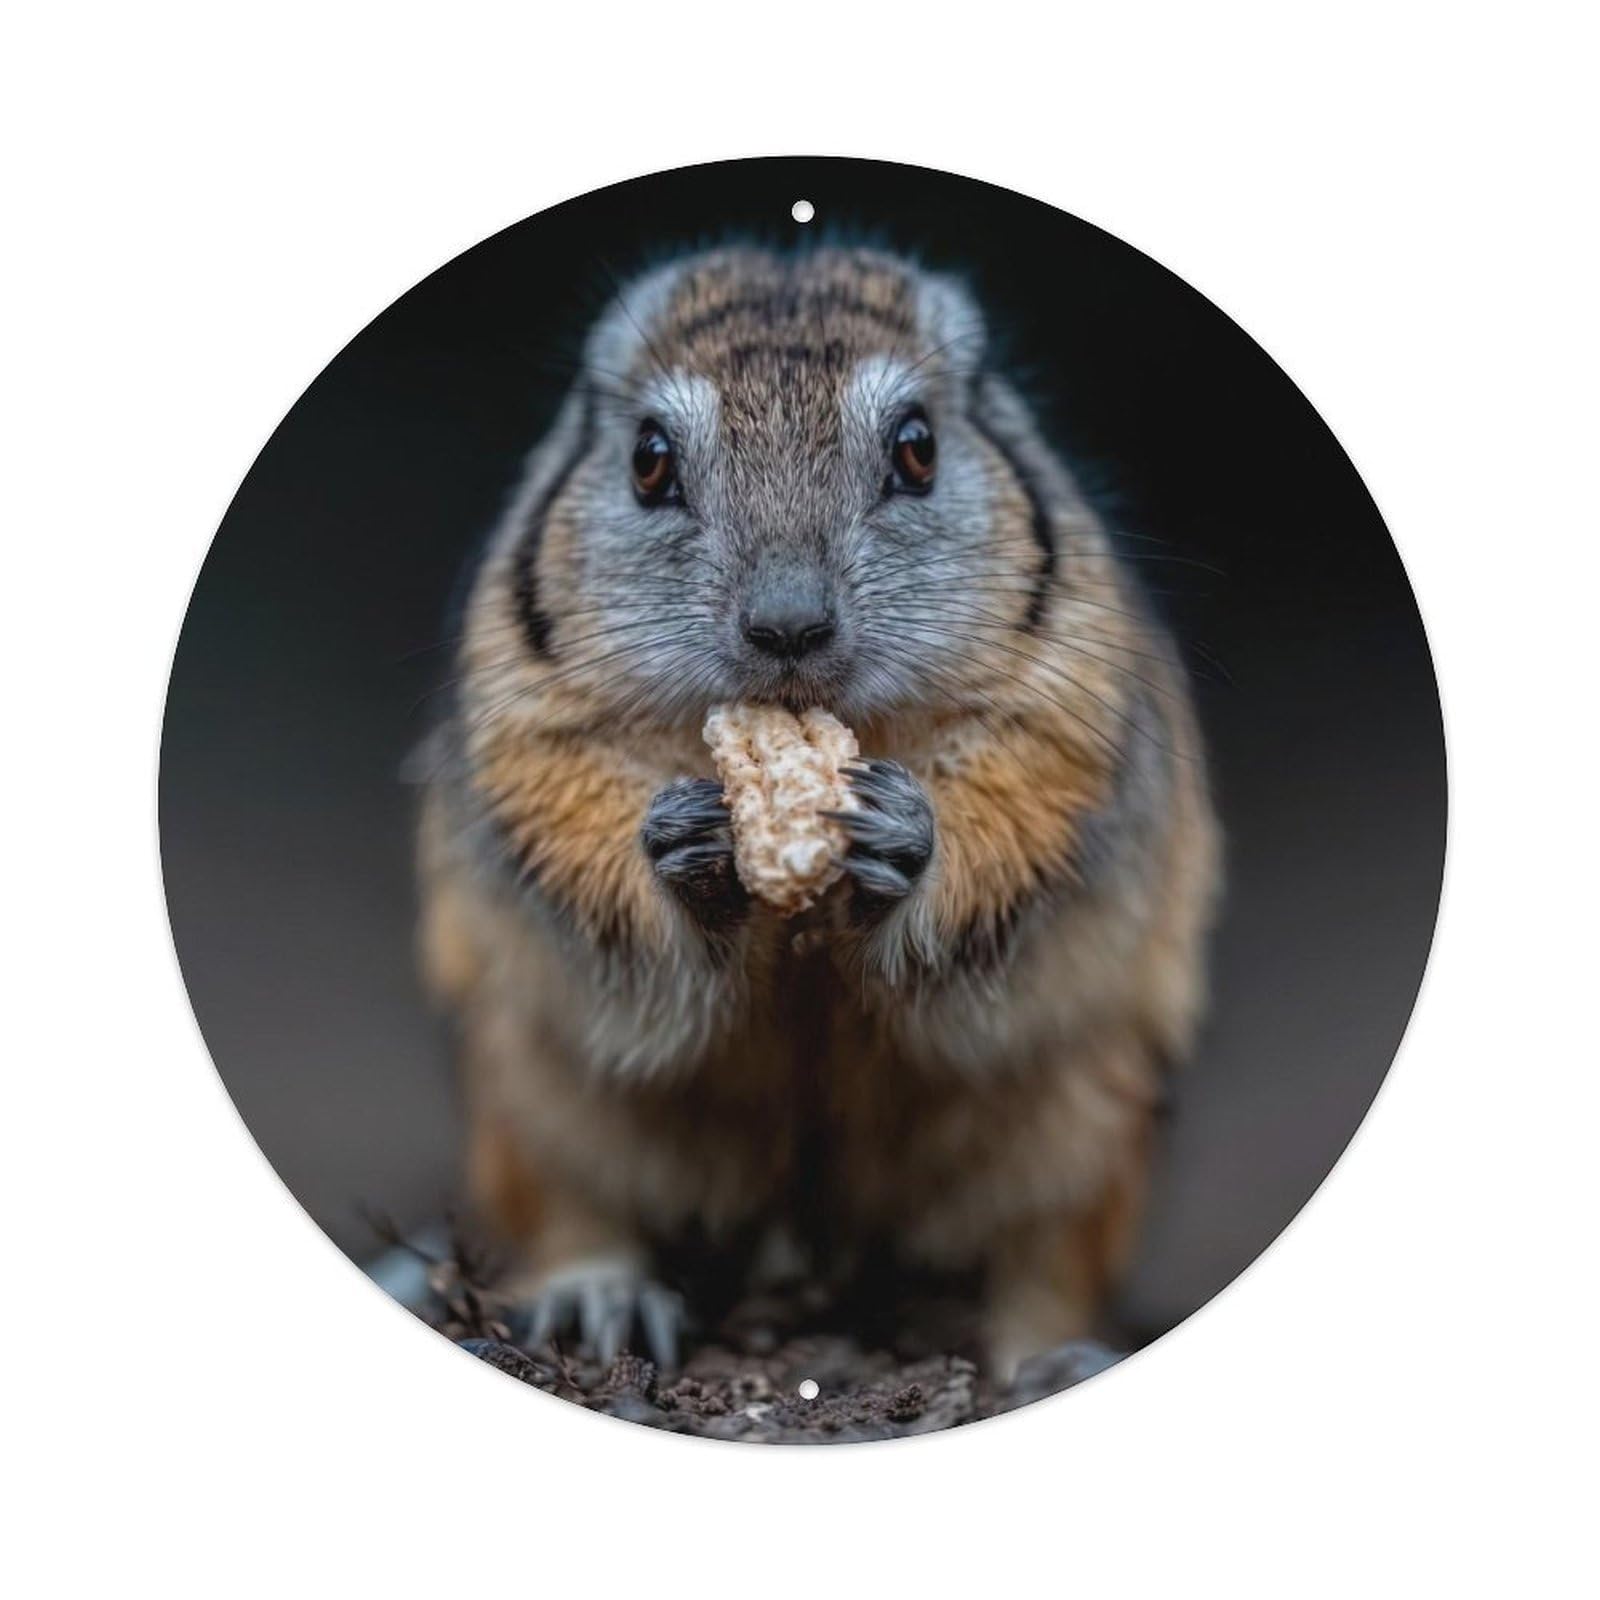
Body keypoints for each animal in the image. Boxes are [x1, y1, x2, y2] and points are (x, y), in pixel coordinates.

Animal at [416, 246, 1221, 1381]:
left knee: (1041, 1269)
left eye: (919, 449)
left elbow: (1002, 839)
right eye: (648, 461)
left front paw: (905, 842)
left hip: (1087, 1130)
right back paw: (598, 1302)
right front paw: (685, 850)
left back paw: (1053, 1357)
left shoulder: (1066, 731)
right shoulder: (528, 740)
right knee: (578, 1215)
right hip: (534, 1106)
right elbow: (597, 865)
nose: (788, 626)